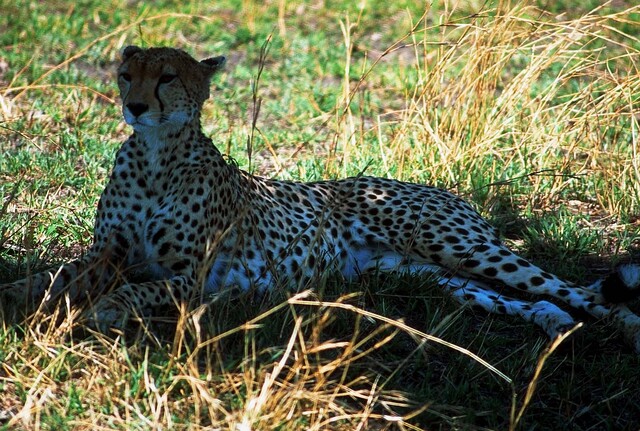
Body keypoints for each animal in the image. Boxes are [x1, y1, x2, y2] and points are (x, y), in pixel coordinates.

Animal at [2, 45, 640, 351]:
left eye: (167, 78)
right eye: (126, 74)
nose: (134, 106)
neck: (157, 155)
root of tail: (444, 190)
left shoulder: (193, 279)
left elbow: (136, 290)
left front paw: (100, 311)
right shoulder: (105, 252)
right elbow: (55, 276)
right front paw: (19, 296)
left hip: (460, 247)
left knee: (579, 290)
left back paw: (623, 329)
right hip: (430, 274)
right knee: (521, 299)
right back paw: (553, 323)